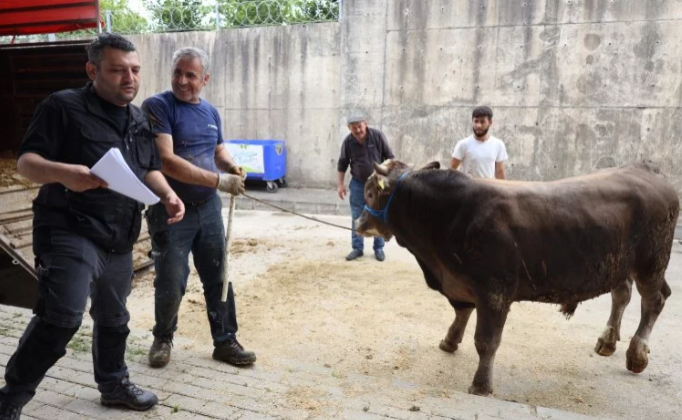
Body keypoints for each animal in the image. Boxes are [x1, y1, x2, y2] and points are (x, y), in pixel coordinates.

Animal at [354, 159, 676, 396]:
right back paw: (607, 341)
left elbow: (486, 341)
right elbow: (461, 312)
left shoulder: (495, 291)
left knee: (655, 301)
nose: (358, 222)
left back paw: (637, 354)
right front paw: (450, 341)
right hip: (619, 265)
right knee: (622, 294)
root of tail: (647, 168)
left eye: (370, 192)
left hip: (651, 263)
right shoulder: (461, 282)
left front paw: (481, 385)